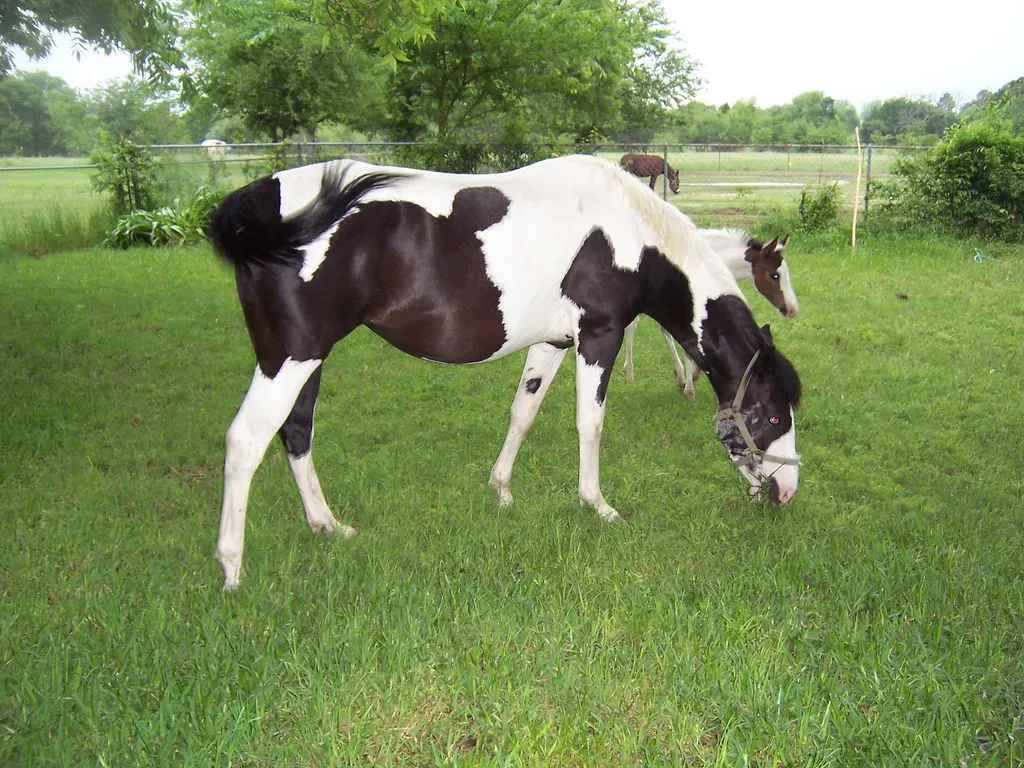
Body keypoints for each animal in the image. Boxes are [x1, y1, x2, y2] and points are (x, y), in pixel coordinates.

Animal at [622, 228, 798, 398]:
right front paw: (690, 390)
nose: (792, 309)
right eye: (775, 275)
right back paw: (629, 372)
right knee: (632, 327)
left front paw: (693, 375)